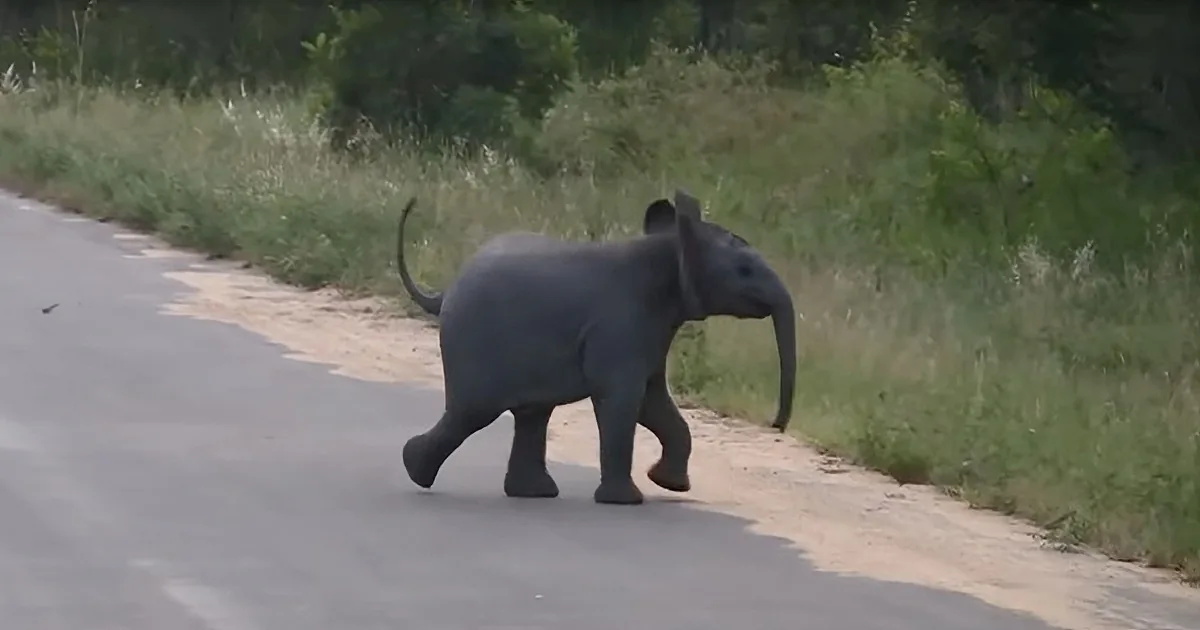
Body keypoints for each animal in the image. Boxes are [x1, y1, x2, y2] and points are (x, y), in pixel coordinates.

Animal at [395, 189, 797, 505]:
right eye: (744, 270)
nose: (774, 424)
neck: (665, 250)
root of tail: (446, 291)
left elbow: (653, 402)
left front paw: (669, 485)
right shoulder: (620, 328)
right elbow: (624, 399)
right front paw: (627, 501)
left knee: (530, 414)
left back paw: (533, 493)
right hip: (474, 343)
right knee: (472, 413)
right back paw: (414, 468)